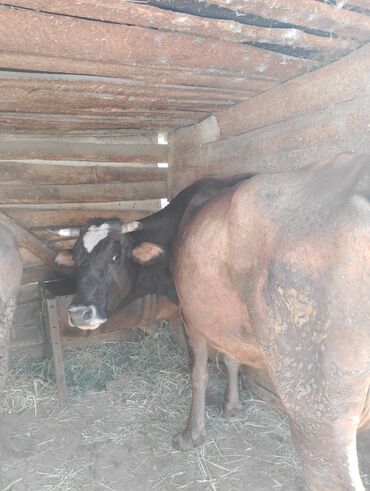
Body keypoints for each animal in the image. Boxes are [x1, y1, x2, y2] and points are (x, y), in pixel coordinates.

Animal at [173, 154, 370, 491]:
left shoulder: (190, 315)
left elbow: (198, 372)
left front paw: (191, 434)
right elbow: (232, 359)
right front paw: (232, 407)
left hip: (317, 406)